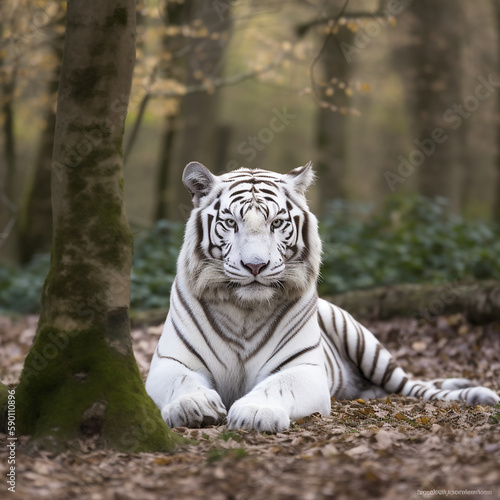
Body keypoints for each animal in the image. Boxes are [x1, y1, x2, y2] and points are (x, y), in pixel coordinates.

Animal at [146, 162, 500, 432]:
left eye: (277, 222)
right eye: (231, 222)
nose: (255, 265)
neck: (244, 309)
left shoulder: (303, 366)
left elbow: (277, 385)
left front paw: (256, 412)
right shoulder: (170, 362)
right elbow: (181, 381)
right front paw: (193, 405)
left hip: (366, 344)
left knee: (416, 387)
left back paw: (479, 395)